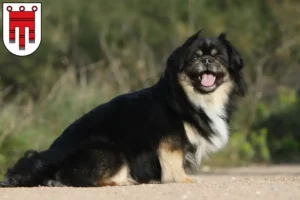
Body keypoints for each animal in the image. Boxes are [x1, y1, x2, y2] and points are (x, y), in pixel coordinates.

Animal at [0, 29, 246, 188]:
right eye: (195, 57)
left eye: (219, 57)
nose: (207, 60)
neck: (190, 97)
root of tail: (51, 157)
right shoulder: (171, 140)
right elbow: (174, 164)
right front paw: (184, 180)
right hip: (111, 151)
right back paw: (126, 180)